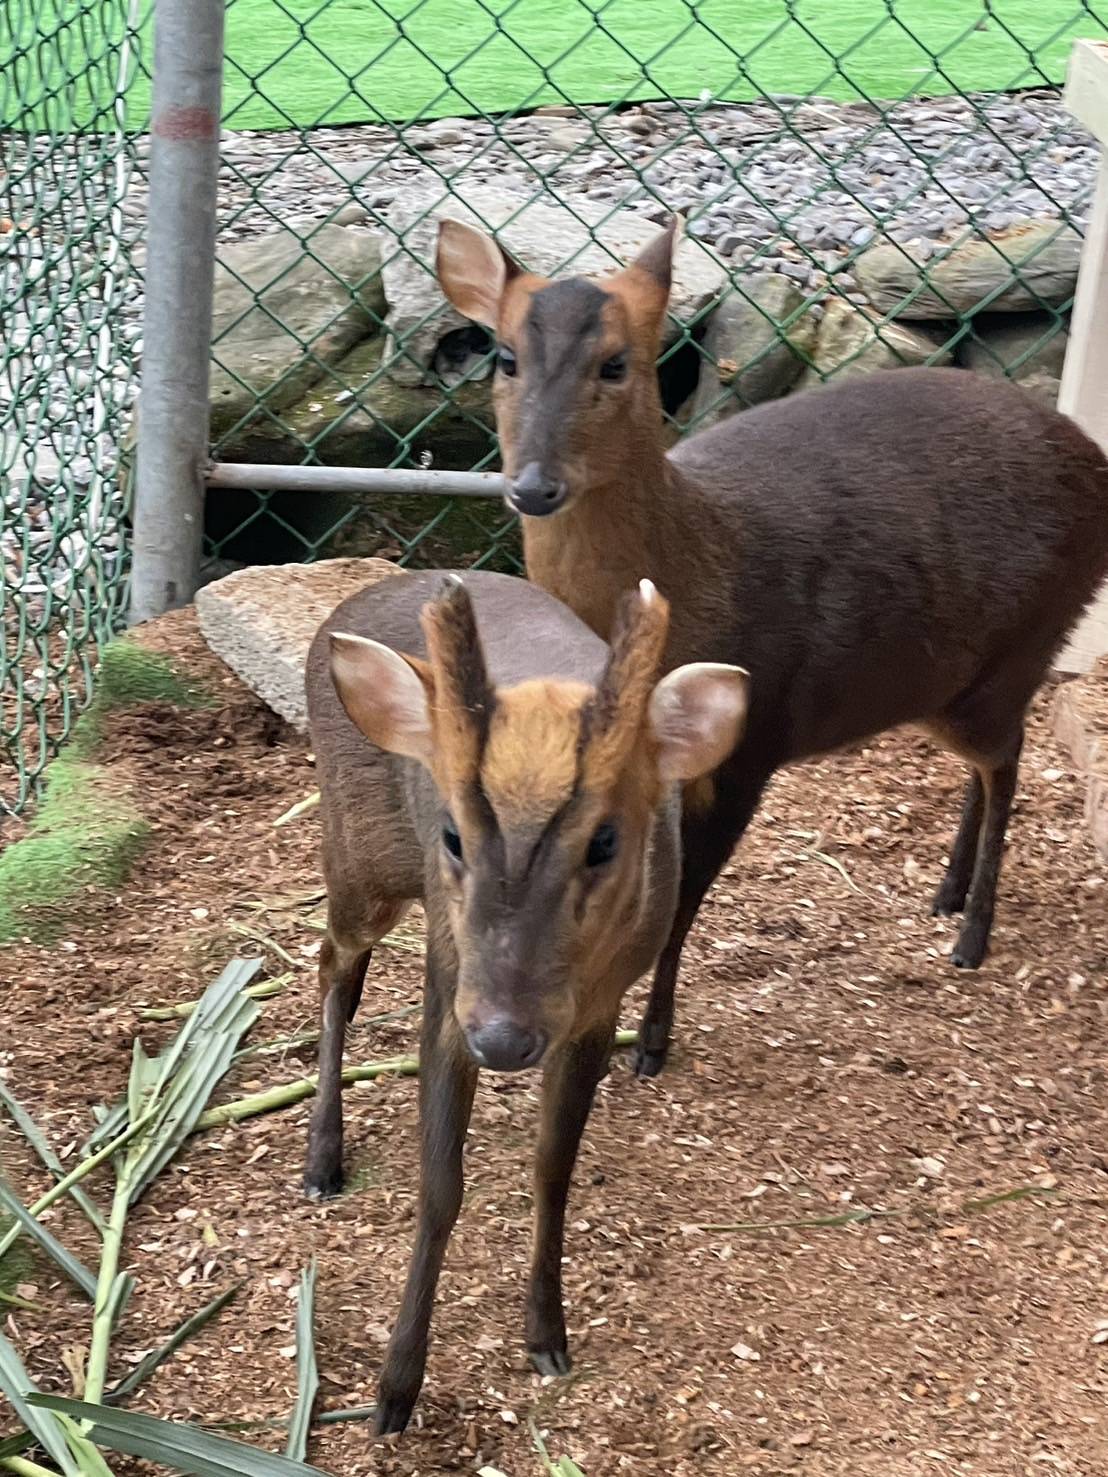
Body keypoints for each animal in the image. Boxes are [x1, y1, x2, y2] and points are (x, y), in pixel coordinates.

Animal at [304, 573, 750, 1429]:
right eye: (452, 833)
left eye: (605, 840)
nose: (505, 1038)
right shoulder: (449, 986)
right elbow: (440, 1184)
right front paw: (394, 1388)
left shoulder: (594, 1010)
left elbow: (553, 1166)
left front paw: (547, 1335)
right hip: (356, 854)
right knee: (330, 963)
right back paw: (320, 1159)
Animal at [437, 215, 1108, 1075]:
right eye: (506, 357)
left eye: (616, 363)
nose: (533, 485)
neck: (701, 564)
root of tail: (1092, 460)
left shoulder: (751, 747)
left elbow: (679, 906)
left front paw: (648, 1043)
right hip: (953, 681)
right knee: (993, 762)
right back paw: (948, 892)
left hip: (1024, 642)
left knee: (1009, 758)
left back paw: (971, 933)